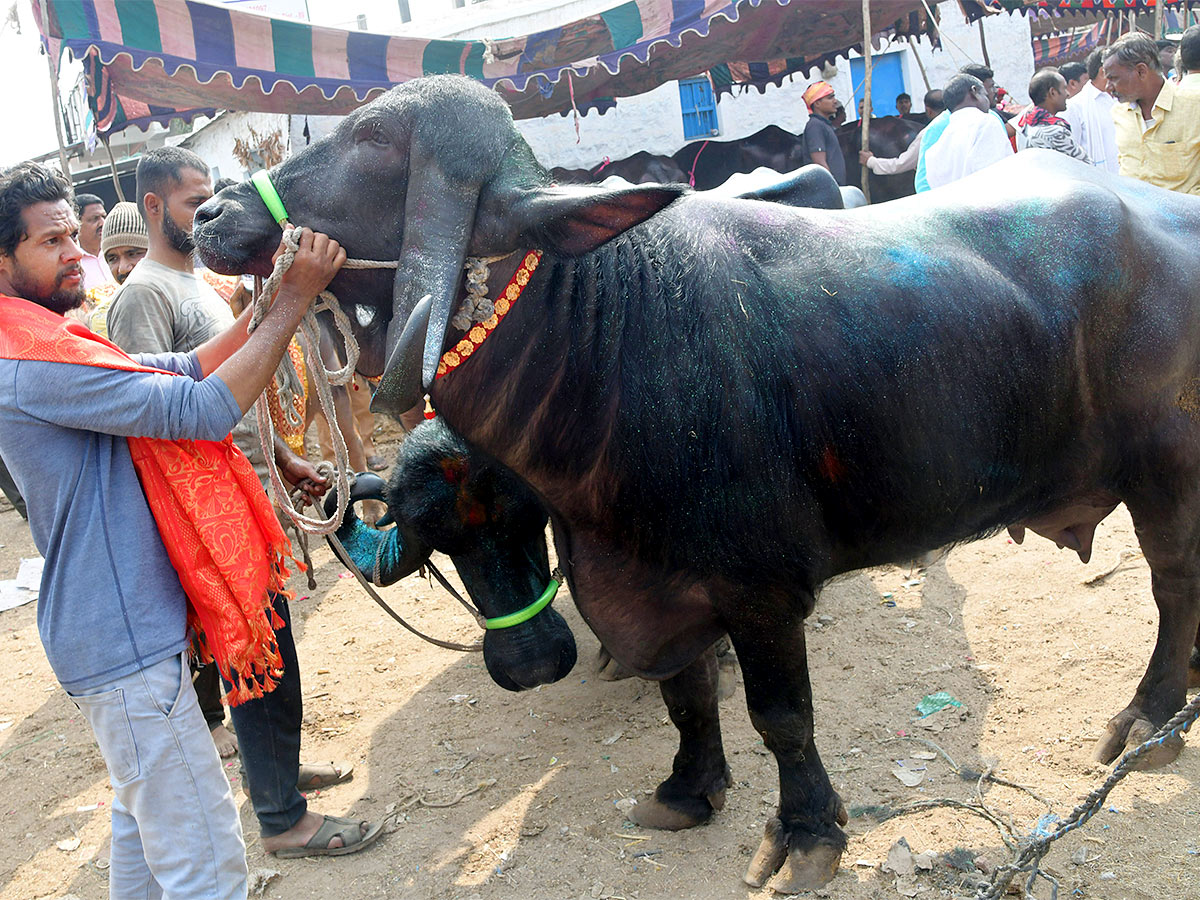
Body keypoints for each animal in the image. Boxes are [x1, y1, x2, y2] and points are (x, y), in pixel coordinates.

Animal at [192, 72, 1200, 897]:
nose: (209, 214)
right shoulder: (650, 583)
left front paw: (806, 834)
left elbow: (781, 717)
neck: (610, 336)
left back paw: (1146, 717)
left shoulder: (760, 592)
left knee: (1171, 587)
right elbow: (686, 694)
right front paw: (686, 790)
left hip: (1168, 475)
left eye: (371, 141)